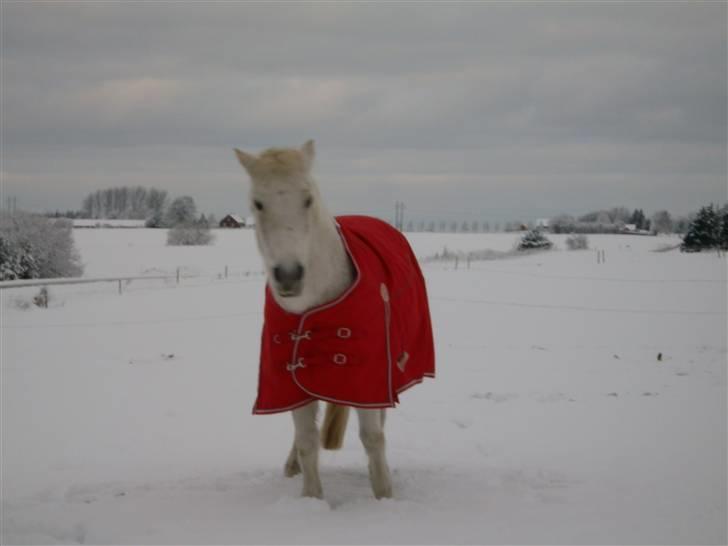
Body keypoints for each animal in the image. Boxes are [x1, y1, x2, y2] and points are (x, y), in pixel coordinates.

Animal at [233, 140, 392, 498]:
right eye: (258, 203)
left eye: (307, 198)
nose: (289, 276)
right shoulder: (290, 380)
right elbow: (307, 441)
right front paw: (312, 499)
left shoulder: (370, 381)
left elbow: (373, 437)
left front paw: (385, 495)